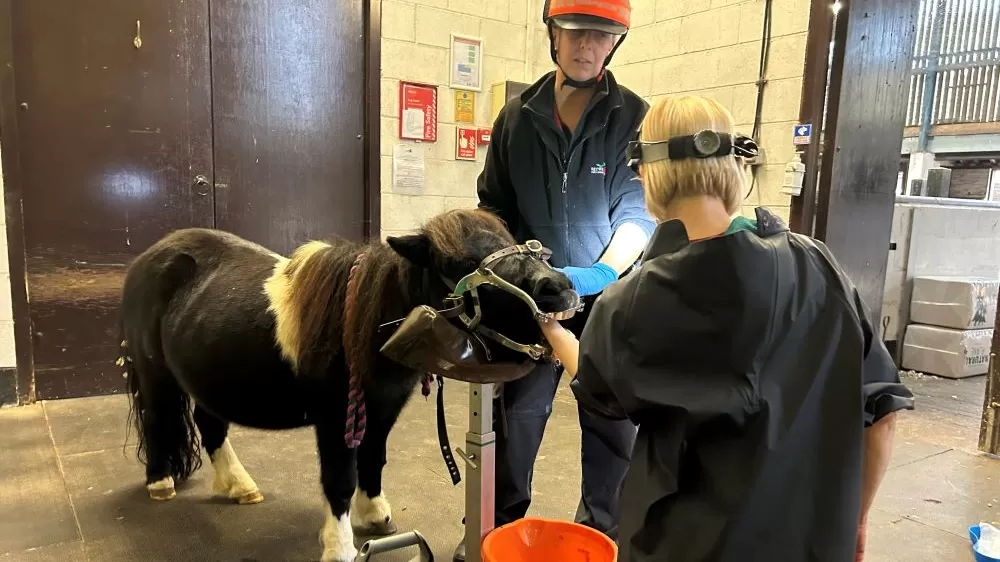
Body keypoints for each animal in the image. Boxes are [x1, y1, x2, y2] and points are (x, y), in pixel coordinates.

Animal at [119, 209, 580, 560]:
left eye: (517, 242)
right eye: (462, 264)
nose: (559, 290)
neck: (363, 323)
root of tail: (151, 257)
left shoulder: (383, 408)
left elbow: (373, 458)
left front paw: (374, 514)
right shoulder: (335, 419)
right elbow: (339, 478)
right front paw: (339, 547)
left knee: (209, 425)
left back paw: (239, 486)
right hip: (156, 375)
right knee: (157, 417)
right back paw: (160, 483)